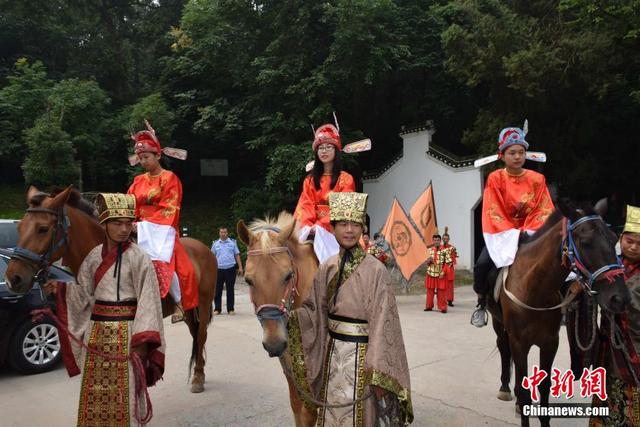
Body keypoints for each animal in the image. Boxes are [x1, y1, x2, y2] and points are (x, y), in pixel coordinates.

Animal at [4, 187, 220, 394]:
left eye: (43, 229)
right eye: (19, 228)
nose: (13, 278)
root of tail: (204, 248)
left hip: (204, 302)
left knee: (201, 335)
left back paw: (198, 378)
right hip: (190, 309)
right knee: (196, 336)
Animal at [490, 199, 632, 426]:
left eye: (613, 239)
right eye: (585, 242)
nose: (619, 299)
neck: (535, 289)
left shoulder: (550, 342)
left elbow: (544, 387)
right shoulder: (519, 342)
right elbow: (523, 390)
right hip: (499, 324)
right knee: (503, 348)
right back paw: (504, 388)